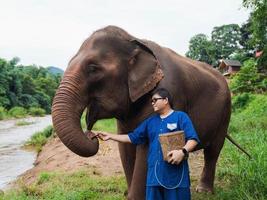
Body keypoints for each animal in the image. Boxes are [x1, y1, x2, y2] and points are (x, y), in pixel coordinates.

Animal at [51, 25, 249, 199]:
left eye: (93, 68)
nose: (92, 135)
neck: (134, 40)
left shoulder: (170, 91)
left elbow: (146, 147)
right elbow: (126, 145)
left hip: (225, 113)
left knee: (213, 151)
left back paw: (203, 191)